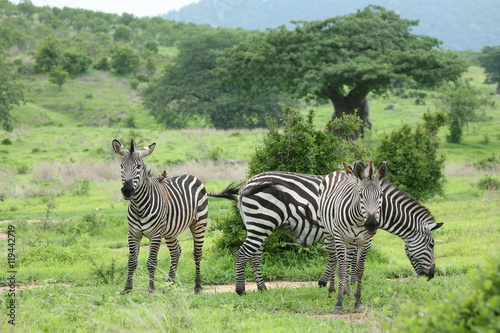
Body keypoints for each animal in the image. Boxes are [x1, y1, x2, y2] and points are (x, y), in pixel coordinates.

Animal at [113, 139, 238, 294]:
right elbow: (131, 261)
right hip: (170, 231)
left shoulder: (156, 234)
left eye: (139, 167)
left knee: (197, 253)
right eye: (121, 166)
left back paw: (197, 286)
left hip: (199, 224)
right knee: (176, 252)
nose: (127, 191)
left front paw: (151, 289)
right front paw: (127, 289)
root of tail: (192, 176)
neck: (139, 206)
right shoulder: (133, 233)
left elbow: (151, 262)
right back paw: (169, 285)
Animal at [318, 162, 444, 312]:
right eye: (431, 245)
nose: (431, 275)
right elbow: (342, 268)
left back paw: (345, 291)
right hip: (329, 232)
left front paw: (354, 299)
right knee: (332, 258)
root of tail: (339, 171)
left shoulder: (364, 240)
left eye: (381, 195)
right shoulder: (341, 237)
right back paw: (331, 290)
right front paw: (339, 302)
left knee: (345, 260)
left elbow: (357, 268)